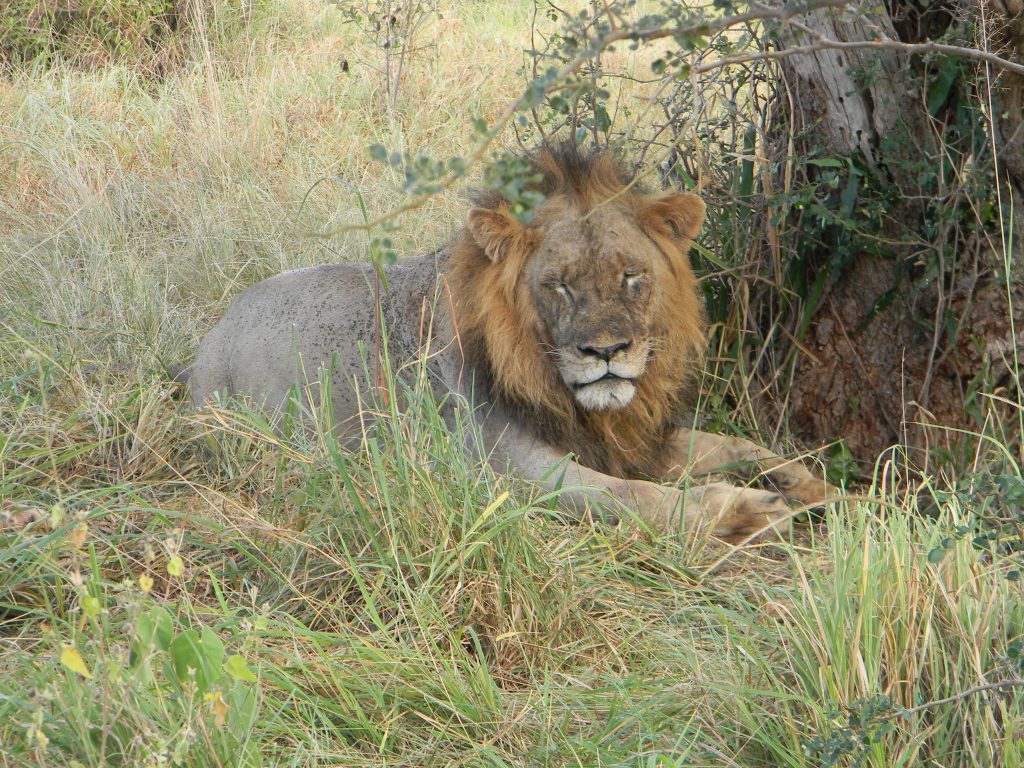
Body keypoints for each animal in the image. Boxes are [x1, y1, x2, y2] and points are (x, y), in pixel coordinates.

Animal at [181, 143, 833, 541]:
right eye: (559, 285)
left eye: (631, 276)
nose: (606, 352)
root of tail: (212, 335)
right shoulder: (508, 472)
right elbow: (632, 498)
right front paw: (746, 511)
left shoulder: (630, 440)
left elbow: (733, 444)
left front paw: (817, 486)